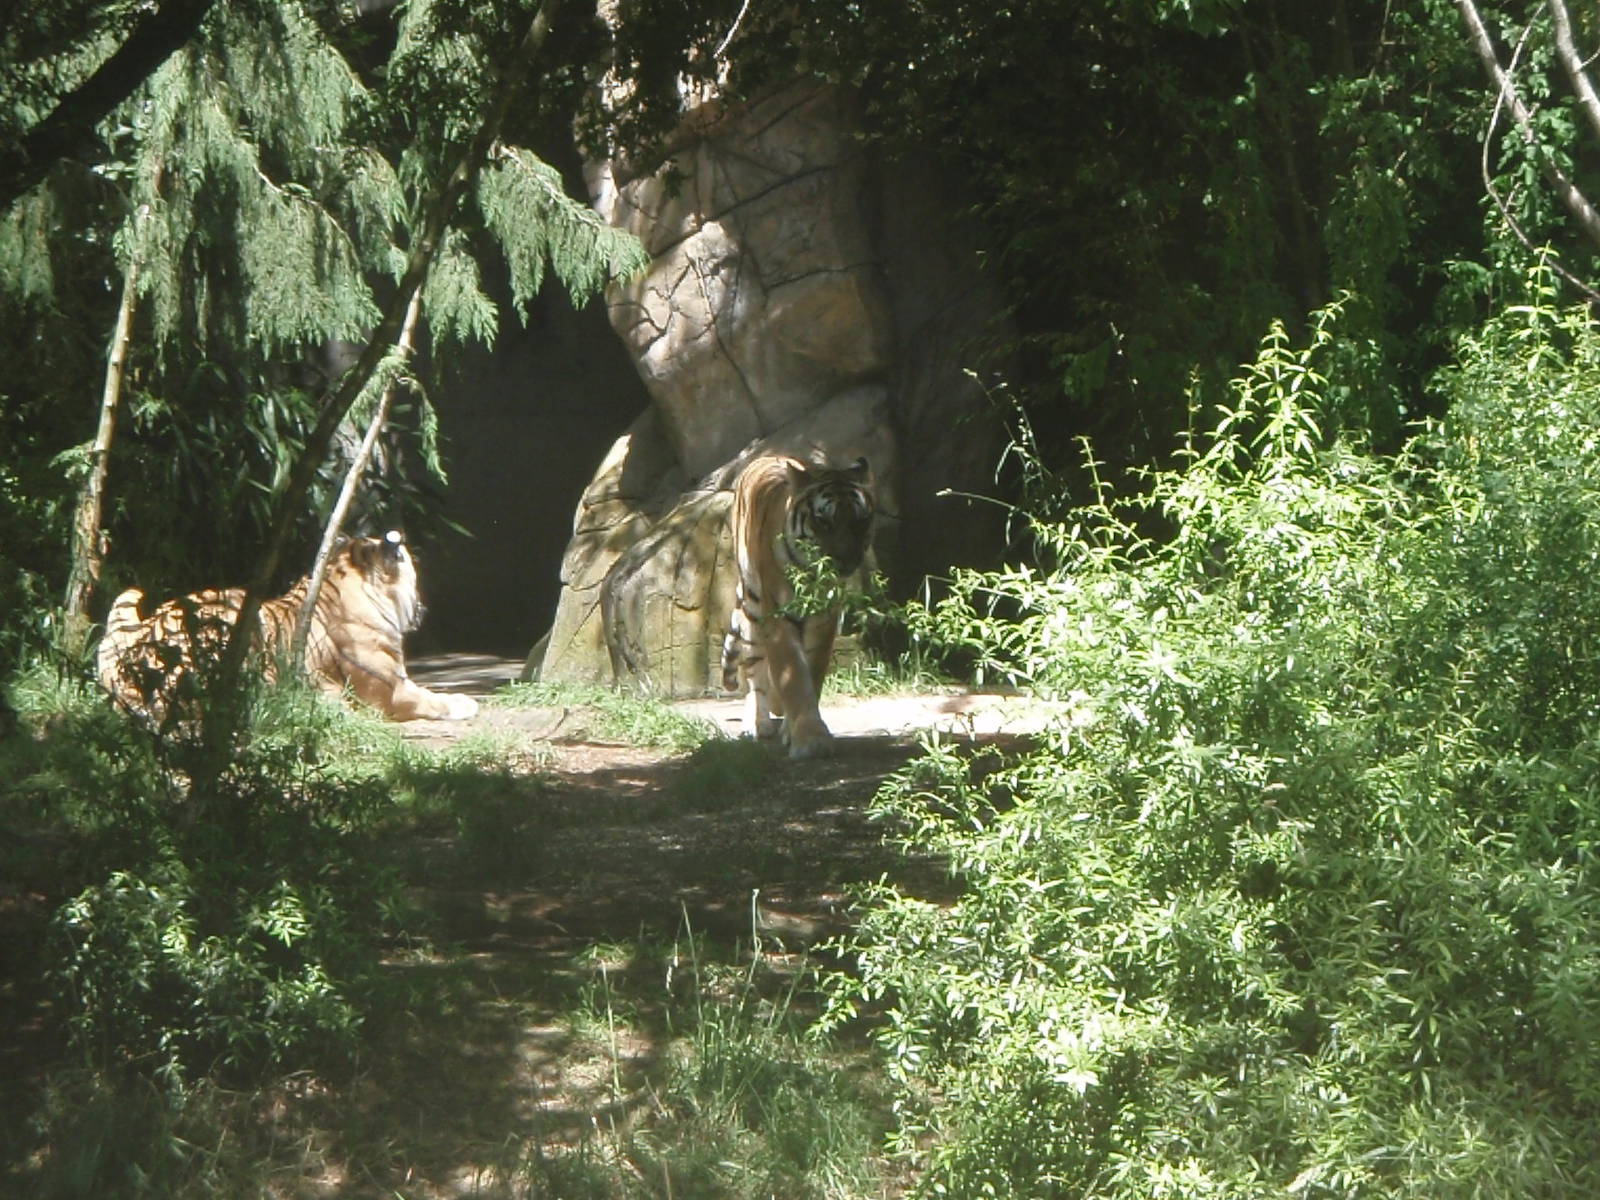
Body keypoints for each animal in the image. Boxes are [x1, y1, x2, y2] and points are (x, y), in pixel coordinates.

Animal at [720, 453, 875, 759]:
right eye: (823, 521)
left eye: (860, 521)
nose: (845, 561)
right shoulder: (779, 616)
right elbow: (792, 675)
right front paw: (811, 740)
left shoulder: (824, 619)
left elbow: (811, 674)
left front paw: (795, 731)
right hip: (753, 605)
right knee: (754, 670)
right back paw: (757, 722)